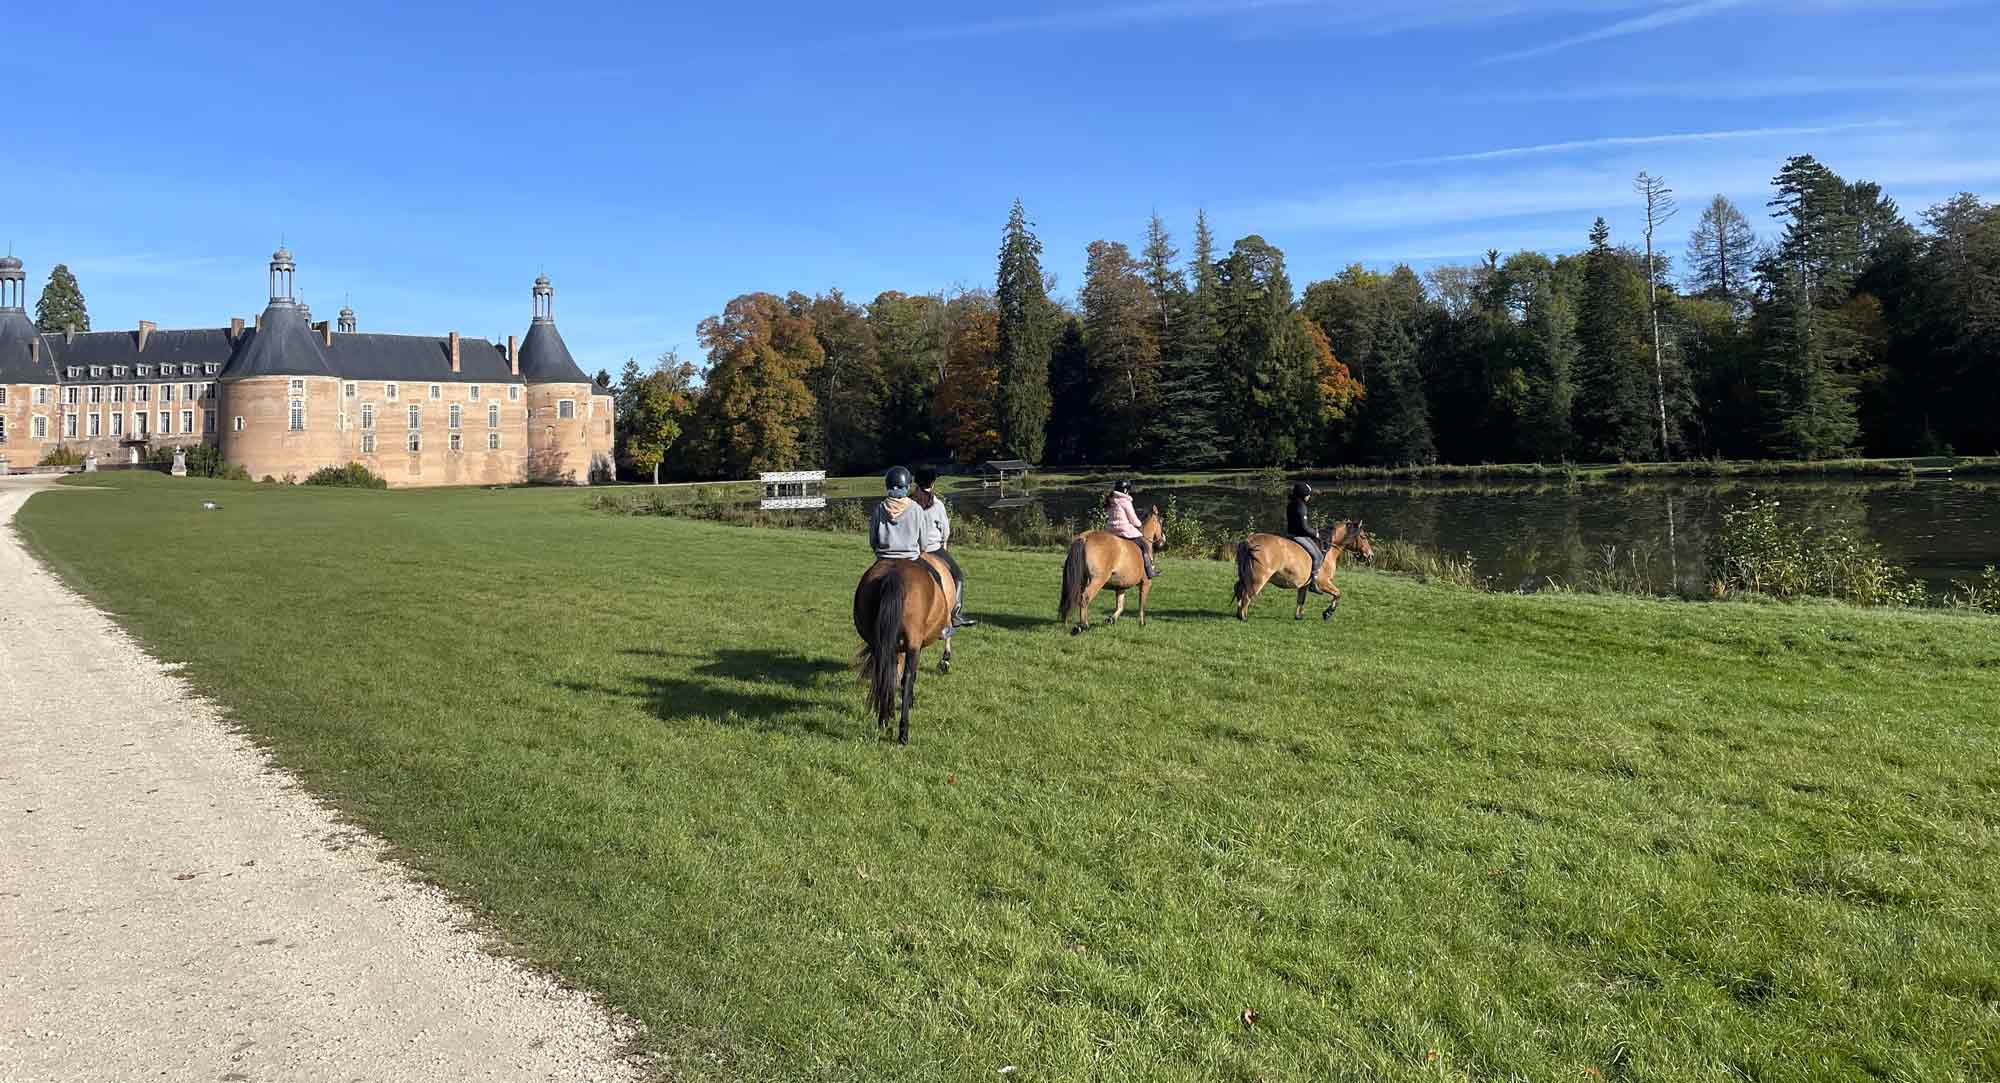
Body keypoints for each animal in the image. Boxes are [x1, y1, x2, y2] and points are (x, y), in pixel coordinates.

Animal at [852, 551, 960, 747]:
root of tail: (893, 575)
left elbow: (892, 673)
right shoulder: (915, 646)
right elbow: (910, 675)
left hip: (880, 643)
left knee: (883, 674)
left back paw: (884, 719)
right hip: (912, 643)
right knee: (907, 679)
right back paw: (903, 732)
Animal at [1056, 507, 1168, 635]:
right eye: (1161, 521)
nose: (1163, 541)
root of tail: (1085, 537)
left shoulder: (1121, 586)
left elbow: (1120, 605)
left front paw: (1111, 619)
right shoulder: (1146, 583)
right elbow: (1141, 604)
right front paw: (1142, 623)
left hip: (1081, 579)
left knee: (1073, 597)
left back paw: (1068, 623)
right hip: (1097, 580)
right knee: (1085, 598)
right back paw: (1084, 625)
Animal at [1232, 523, 1376, 623]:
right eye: (1363, 537)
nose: (1371, 555)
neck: (1327, 548)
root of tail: (1249, 540)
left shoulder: (1304, 585)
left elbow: (1301, 599)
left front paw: (1299, 616)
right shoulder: (1323, 583)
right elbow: (1338, 594)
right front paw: (1327, 613)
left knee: (1239, 590)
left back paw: (1239, 614)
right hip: (1259, 578)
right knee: (1246, 595)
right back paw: (1243, 617)